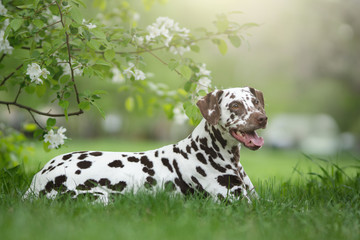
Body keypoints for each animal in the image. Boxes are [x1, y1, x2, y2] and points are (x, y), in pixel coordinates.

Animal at [23, 87, 268, 203]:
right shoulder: (238, 203)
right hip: (100, 198)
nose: (262, 118)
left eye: (256, 102)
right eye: (235, 105)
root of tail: (37, 179)